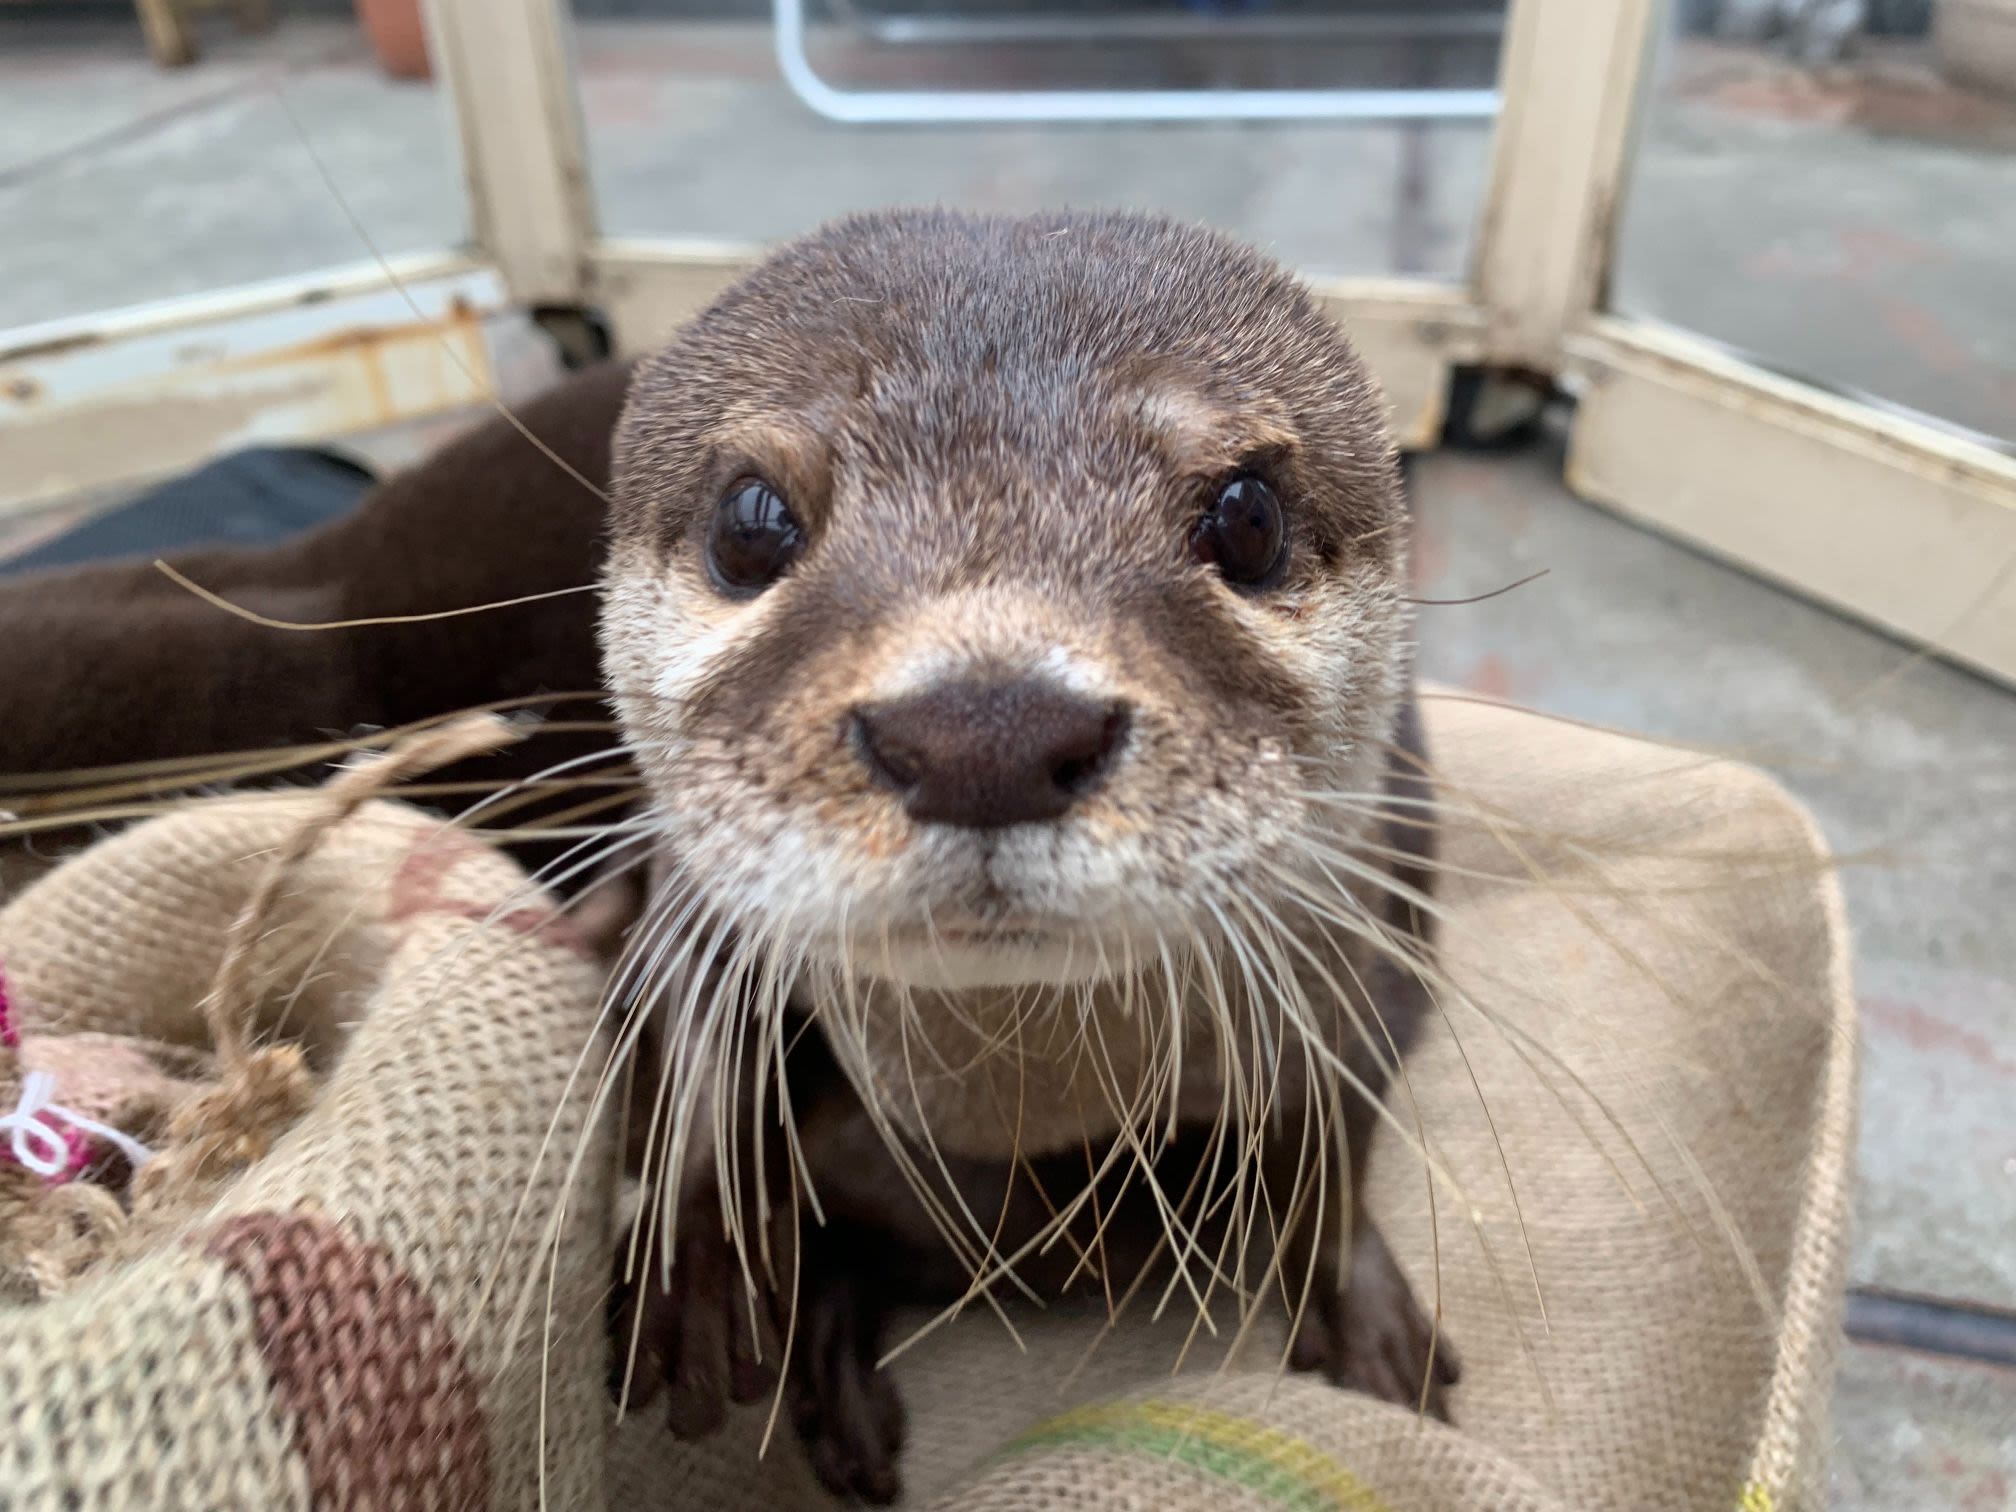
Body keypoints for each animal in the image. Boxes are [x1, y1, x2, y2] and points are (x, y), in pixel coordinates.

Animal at [0, 210, 1451, 1507]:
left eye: (1248, 515)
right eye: (753, 522)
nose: (981, 728)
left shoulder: (1377, 943)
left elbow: (1334, 1128)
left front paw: (1362, 1318)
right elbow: (685, 1008)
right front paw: (694, 1255)